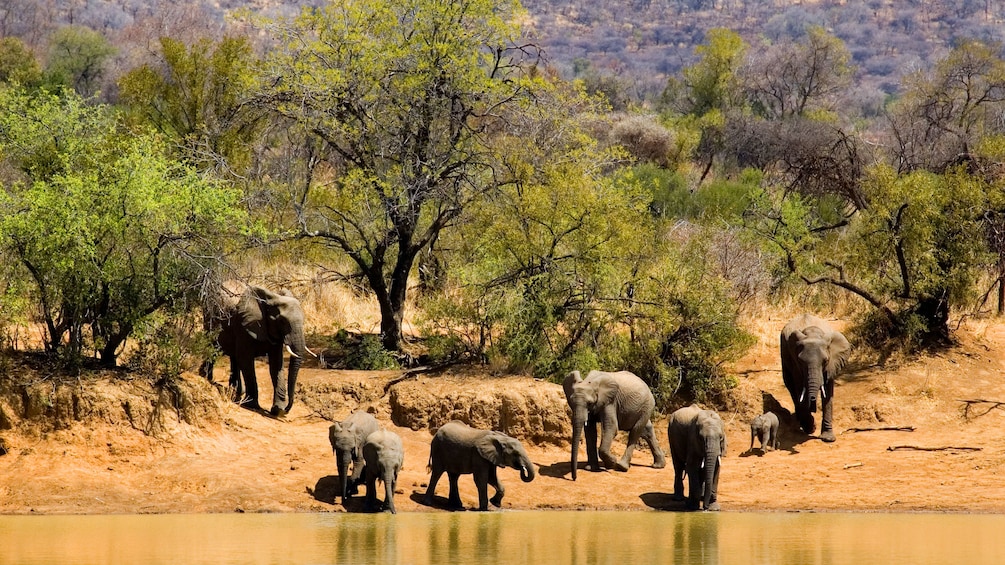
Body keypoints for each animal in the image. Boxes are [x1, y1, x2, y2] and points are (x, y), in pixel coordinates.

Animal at [203, 279, 309, 416]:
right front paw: (252, 405)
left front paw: (278, 410)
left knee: (233, 356)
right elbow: (246, 360)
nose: (287, 410)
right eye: (282, 321)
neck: (272, 299)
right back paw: (206, 378)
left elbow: (276, 365)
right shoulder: (244, 326)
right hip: (209, 317)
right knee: (212, 346)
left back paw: (236, 391)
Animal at [779, 311, 852, 440]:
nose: (813, 405)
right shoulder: (795, 362)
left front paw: (828, 438)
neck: (812, 333)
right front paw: (810, 428)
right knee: (790, 385)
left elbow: (828, 392)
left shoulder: (831, 363)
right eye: (801, 361)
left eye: (825, 361)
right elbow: (799, 387)